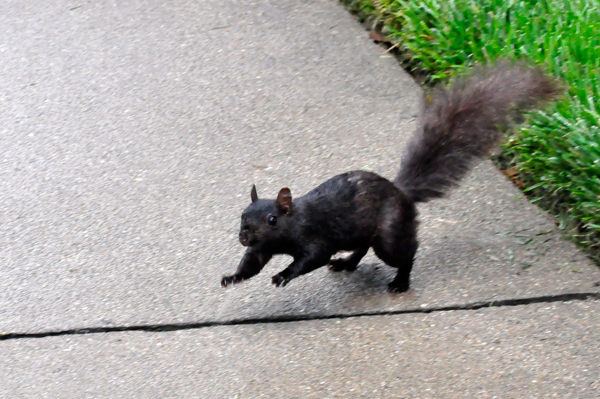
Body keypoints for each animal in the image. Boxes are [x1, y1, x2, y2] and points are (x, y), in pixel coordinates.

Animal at [223, 63, 560, 294]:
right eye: (242, 216)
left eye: (272, 220)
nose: (243, 236)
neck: (292, 225)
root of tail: (402, 194)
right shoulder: (263, 248)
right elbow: (252, 262)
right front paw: (232, 277)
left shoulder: (313, 236)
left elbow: (311, 258)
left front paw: (283, 275)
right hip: (366, 231)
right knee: (362, 247)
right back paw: (346, 263)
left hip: (390, 234)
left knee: (406, 254)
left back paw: (400, 282)